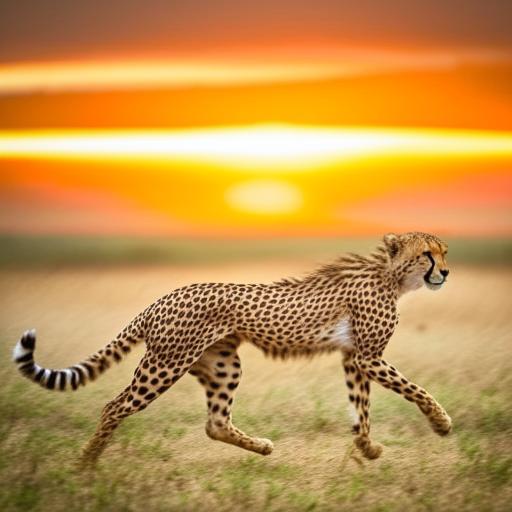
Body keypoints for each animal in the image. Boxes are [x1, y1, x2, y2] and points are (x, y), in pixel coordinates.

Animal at [13, 232, 452, 464]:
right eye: (426, 255)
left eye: (444, 252)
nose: (446, 272)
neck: (391, 277)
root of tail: (160, 299)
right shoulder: (367, 356)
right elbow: (415, 389)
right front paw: (441, 423)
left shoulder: (352, 357)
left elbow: (360, 407)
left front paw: (368, 446)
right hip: (164, 364)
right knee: (114, 406)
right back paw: (86, 463)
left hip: (222, 364)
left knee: (215, 423)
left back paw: (260, 446)